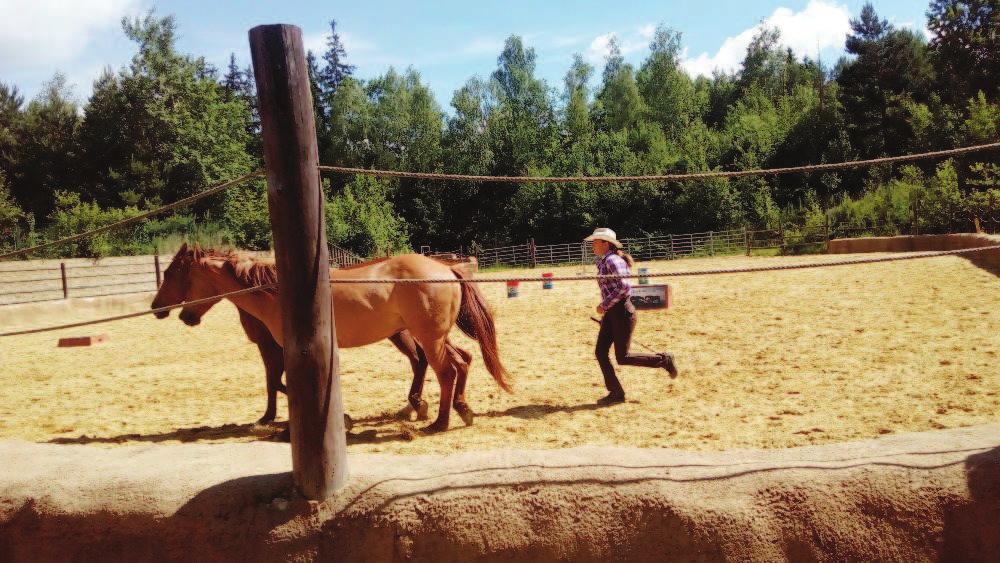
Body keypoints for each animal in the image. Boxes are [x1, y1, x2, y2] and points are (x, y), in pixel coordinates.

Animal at [152, 245, 512, 434]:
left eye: (171, 274)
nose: (158, 308)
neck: (276, 292)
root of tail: (446, 269)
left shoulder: (282, 349)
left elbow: (281, 384)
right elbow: (280, 384)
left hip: (428, 337)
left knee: (446, 370)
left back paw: (438, 421)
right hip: (433, 336)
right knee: (462, 361)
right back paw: (460, 410)